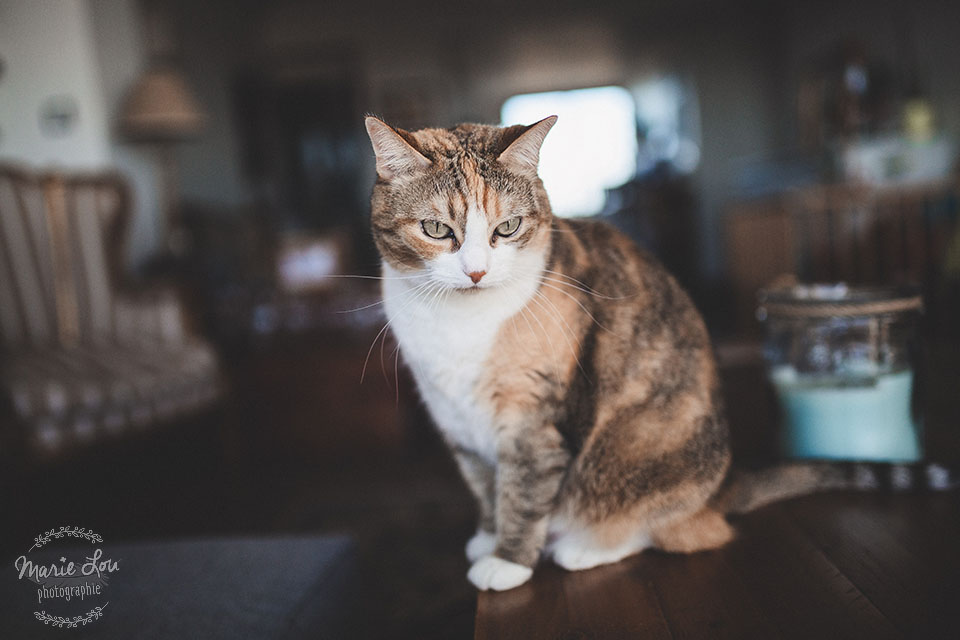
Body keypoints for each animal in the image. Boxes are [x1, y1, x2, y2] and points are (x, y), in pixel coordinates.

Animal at [364, 114, 852, 592]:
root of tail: (726, 485)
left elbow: (523, 490)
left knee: (685, 530)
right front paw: (488, 536)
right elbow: (484, 483)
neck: (457, 323)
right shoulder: (455, 418)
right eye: (436, 229)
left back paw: (583, 548)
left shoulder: (531, 417)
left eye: (507, 228)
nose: (477, 272)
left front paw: (508, 561)